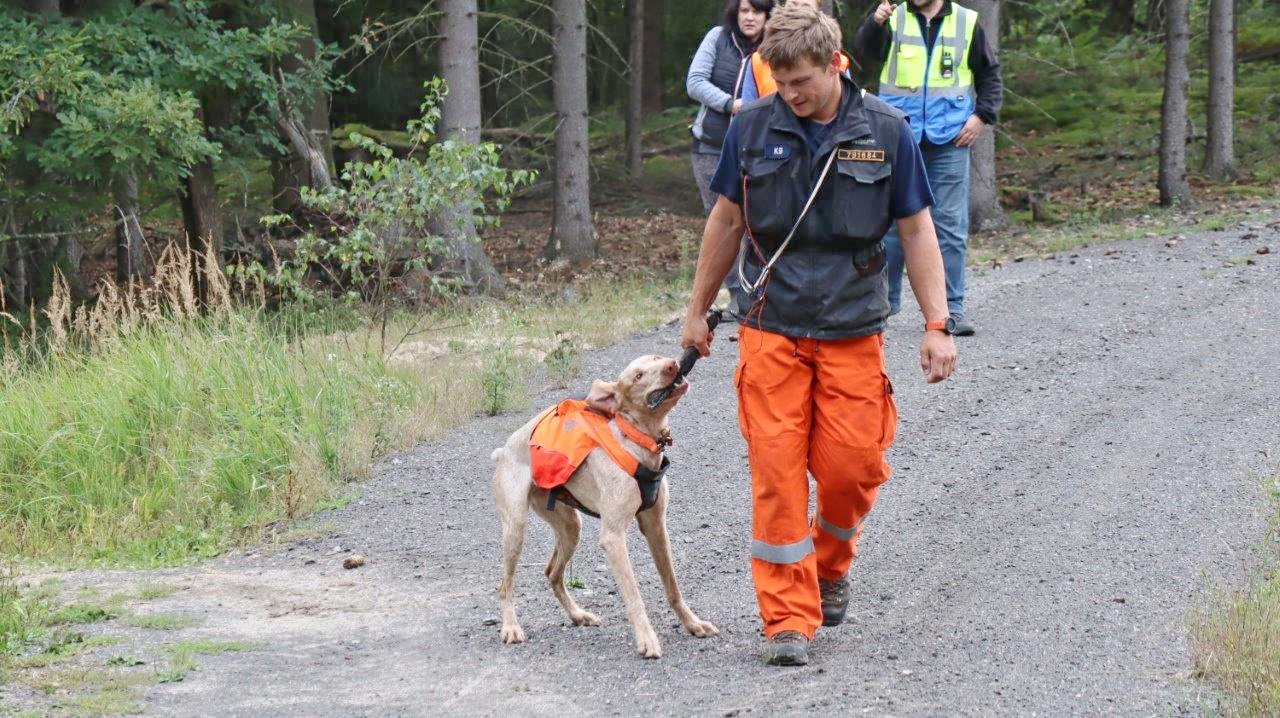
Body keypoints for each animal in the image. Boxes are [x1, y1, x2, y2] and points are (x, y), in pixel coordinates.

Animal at [486, 353, 716, 655]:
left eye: (655, 358)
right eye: (638, 376)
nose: (672, 364)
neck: (636, 442)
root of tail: (504, 450)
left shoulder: (656, 527)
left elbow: (672, 587)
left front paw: (693, 623)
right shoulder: (613, 537)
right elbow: (633, 594)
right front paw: (646, 638)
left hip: (571, 526)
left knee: (552, 573)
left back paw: (578, 615)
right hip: (516, 529)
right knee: (505, 585)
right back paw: (511, 627)